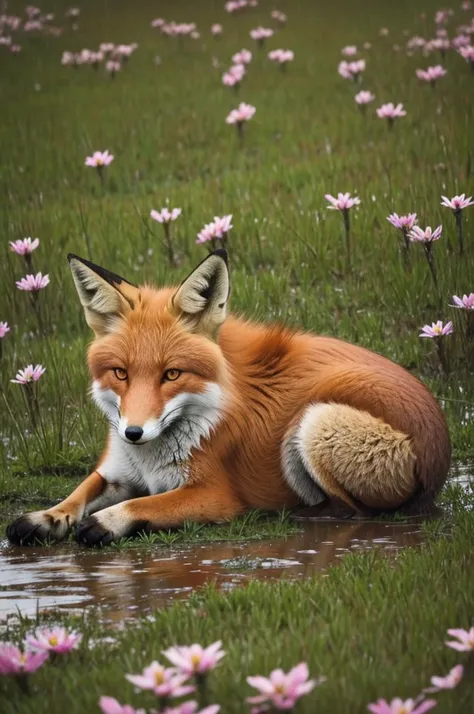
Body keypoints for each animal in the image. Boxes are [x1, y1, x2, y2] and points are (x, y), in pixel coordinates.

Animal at [7, 250, 452, 544]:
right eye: (121, 373)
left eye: (171, 374)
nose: (133, 433)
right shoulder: (117, 471)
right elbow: (78, 493)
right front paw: (47, 516)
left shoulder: (214, 495)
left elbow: (146, 506)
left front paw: (107, 521)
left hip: (313, 423)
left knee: (358, 510)